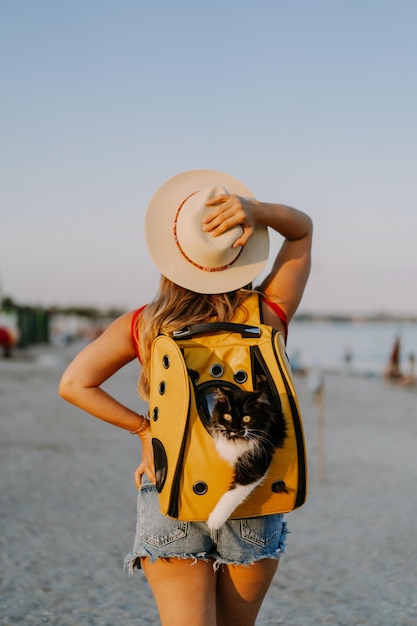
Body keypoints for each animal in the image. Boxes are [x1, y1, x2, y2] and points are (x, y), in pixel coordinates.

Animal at [203, 386, 284, 528]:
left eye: (246, 418)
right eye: (227, 416)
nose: (235, 428)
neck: (237, 440)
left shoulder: (255, 465)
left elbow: (232, 495)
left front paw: (214, 521)